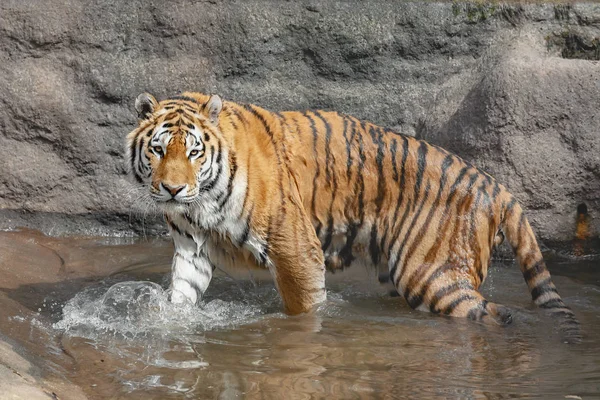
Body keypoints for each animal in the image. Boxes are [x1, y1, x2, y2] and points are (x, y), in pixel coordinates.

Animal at [126, 91, 580, 340]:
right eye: (158, 150)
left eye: (194, 152)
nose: (173, 189)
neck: (200, 203)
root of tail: (496, 187)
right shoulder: (193, 251)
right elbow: (181, 297)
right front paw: (168, 323)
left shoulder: (295, 249)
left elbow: (304, 308)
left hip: (430, 276)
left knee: (497, 314)